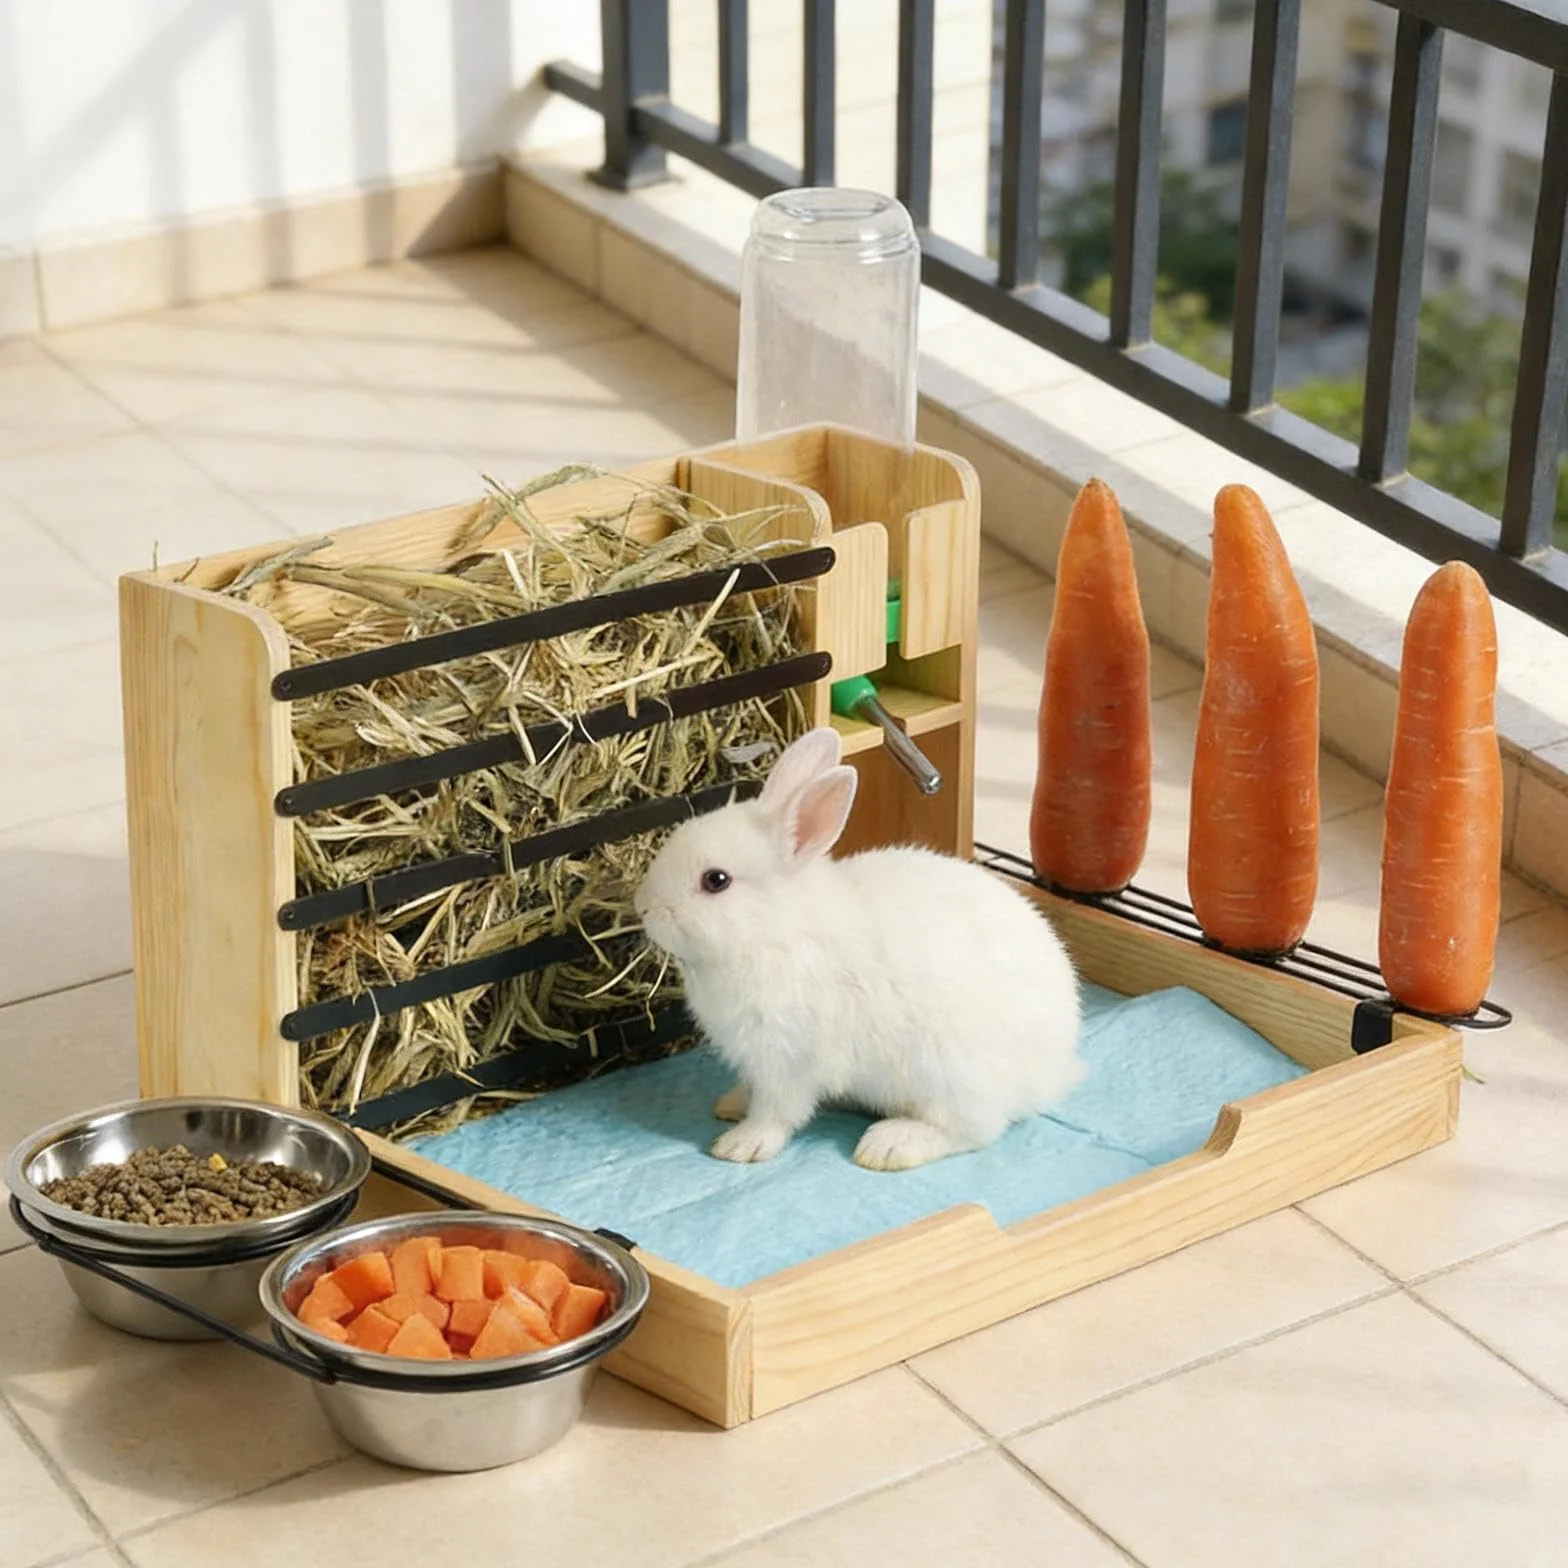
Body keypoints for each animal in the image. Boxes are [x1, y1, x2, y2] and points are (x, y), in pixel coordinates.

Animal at [631, 726, 1086, 1171]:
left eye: (716, 880)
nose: (643, 906)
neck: (777, 931)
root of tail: (1057, 1067)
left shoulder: (786, 1059)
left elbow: (777, 1112)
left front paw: (741, 1145)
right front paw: (731, 1103)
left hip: (952, 1073)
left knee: (975, 1129)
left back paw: (889, 1145)